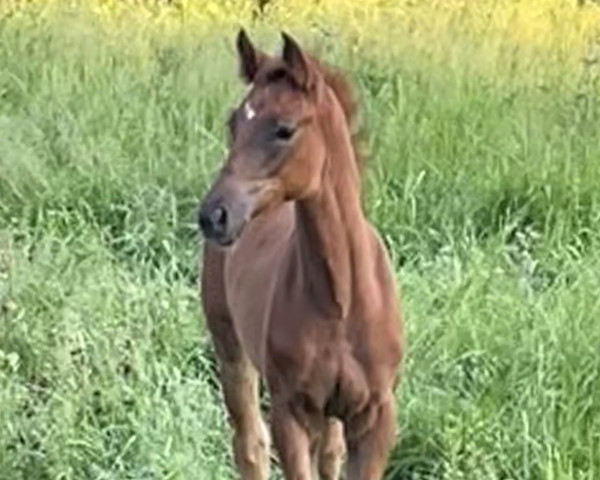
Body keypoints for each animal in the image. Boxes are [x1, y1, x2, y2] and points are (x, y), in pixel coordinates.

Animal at [198, 31, 404, 480]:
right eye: (234, 122)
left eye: (284, 129)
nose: (214, 215)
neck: (341, 299)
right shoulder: (290, 412)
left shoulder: (376, 415)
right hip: (230, 347)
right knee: (250, 445)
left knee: (328, 454)